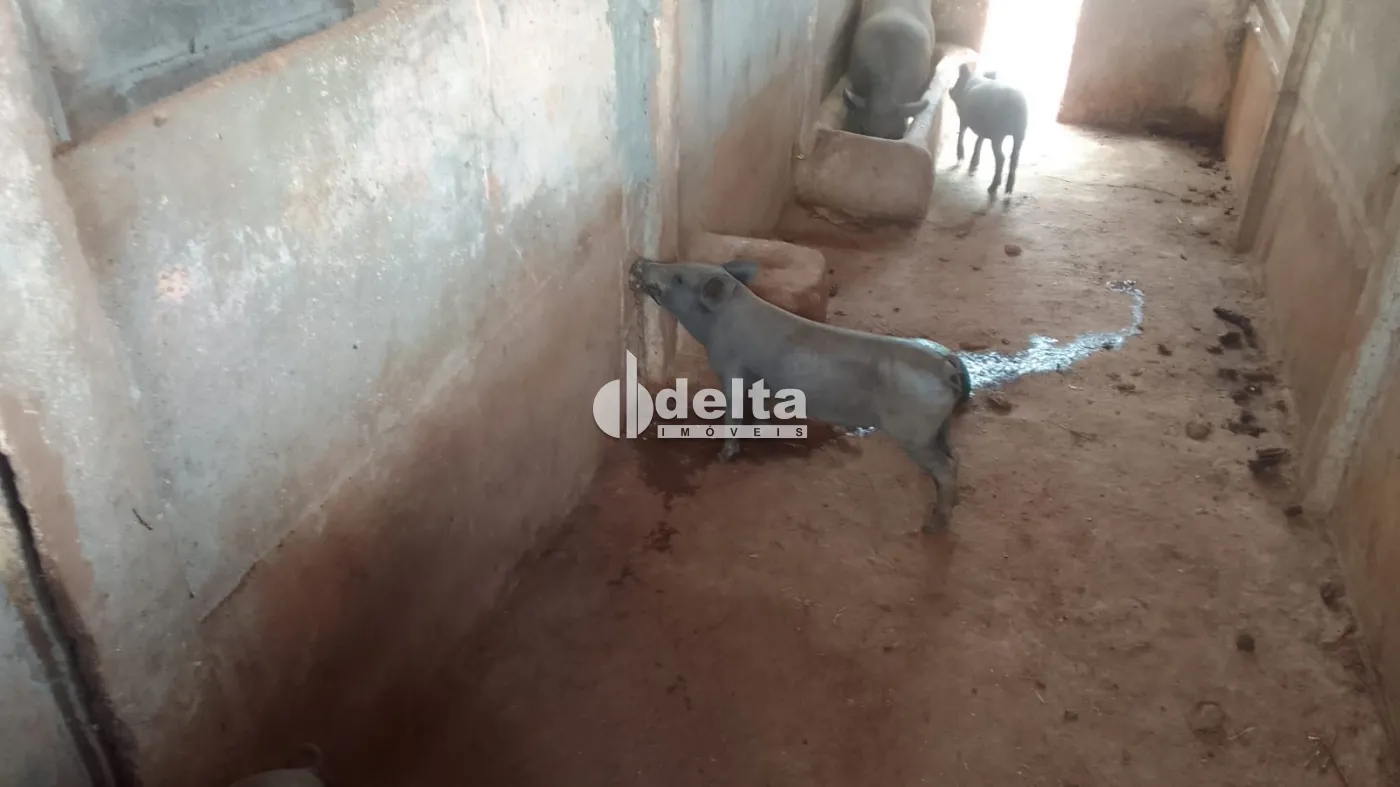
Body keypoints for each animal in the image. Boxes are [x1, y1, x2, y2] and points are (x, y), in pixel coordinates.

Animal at [631, 258, 972, 532]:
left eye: (679, 278)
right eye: (677, 265)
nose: (639, 262)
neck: (719, 323)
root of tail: (946, 364)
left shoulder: (733, 370)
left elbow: (733, 414)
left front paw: (724, 455)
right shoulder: (759, 380)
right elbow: (758, 408)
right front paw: (762, 431)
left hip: (914, 432)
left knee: (946, 468)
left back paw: (932, 527)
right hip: (937, 428)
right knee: (954, 457)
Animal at [949, 63, 1029, 195]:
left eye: (958, 80)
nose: (950, 90)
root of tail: (1016, 102)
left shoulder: (963, 116)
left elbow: (961, 133)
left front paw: (960, 158)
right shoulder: (984, 128)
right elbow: (979, 140)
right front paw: (974, 164)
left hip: (998, 134)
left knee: (1001, 158)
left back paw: (992, 187)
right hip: (1021, 133)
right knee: (1014, 158)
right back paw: (1008, 191)